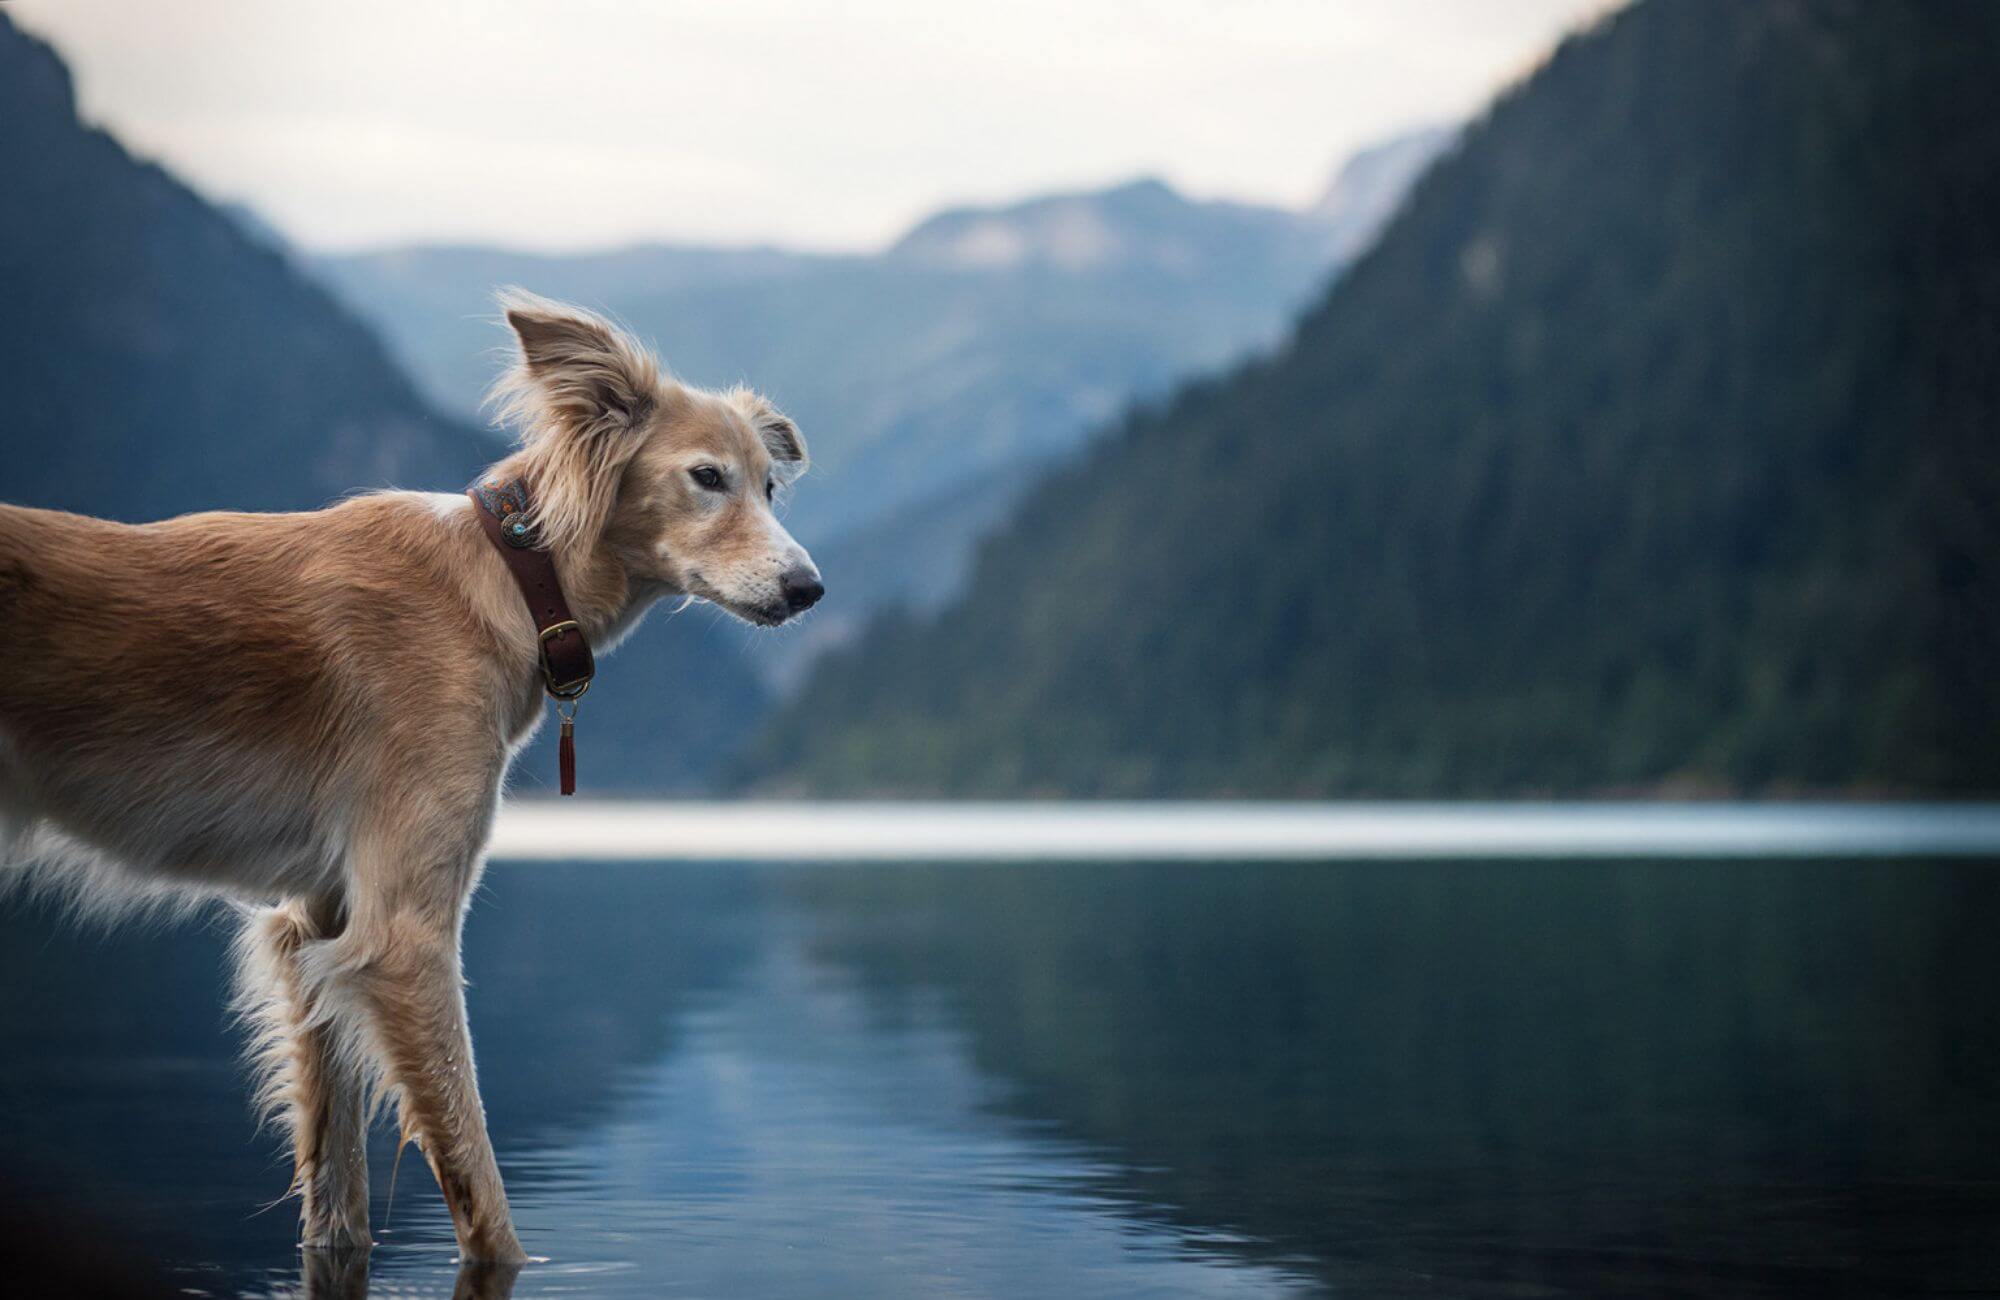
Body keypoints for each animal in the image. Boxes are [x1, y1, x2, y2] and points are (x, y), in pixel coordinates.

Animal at [0, 292, 820, 1256]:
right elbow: (479, 1184)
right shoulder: (403, 937)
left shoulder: (316, 923)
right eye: (707, 476)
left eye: (769, 486)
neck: (513, 577)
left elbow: (339, 1188)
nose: (809, 589)